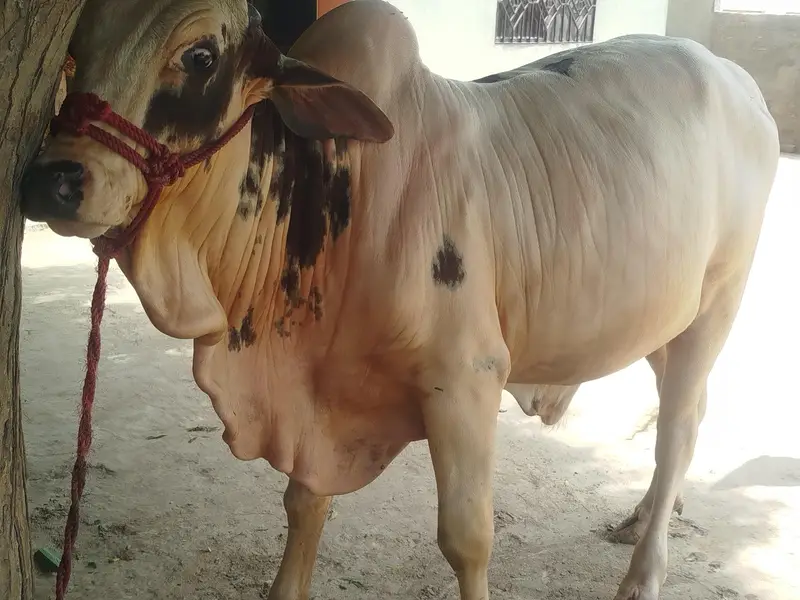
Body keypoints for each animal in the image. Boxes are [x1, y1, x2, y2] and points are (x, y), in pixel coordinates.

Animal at [20, 1, 779, 599]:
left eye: (199, 55)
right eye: (75, 51)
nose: (53, 180)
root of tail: (735, 77)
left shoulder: (466, 378)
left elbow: (466, 540)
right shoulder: (317, 400)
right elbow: (304, 504)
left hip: (720, 301)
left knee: (679, 428)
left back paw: (644, 575)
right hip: (664, 320)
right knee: (685, 417)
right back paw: (645, 516)